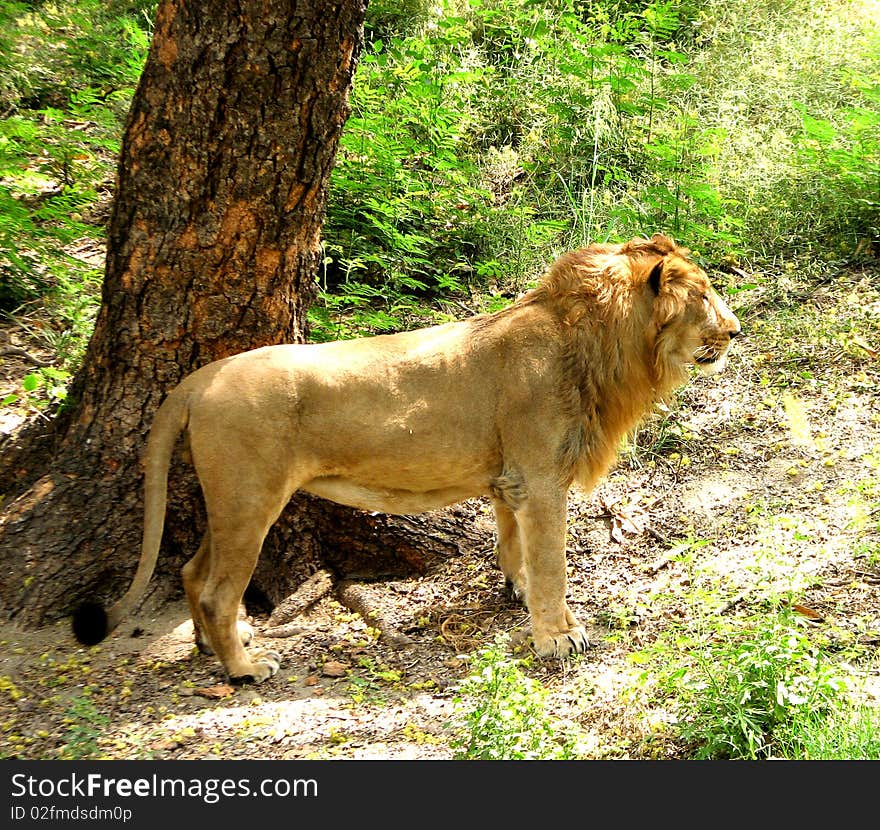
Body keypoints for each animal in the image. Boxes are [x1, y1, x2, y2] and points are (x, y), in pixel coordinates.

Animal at [72, 232, 740, 684]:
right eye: (705, 295)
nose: (736, 331)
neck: (602, 346)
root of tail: (199, 377)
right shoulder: (540, 478)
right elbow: (551, 561)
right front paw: (558, 636)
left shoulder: (510, 479)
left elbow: (514, 545)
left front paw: (518, 592)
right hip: (249, 499)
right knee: (215, 589)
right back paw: (244, 668)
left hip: (234, 500)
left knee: (191, 572)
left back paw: (215, 647)